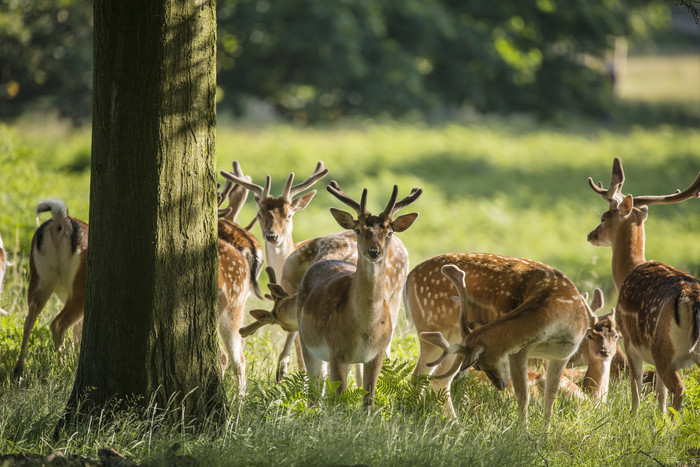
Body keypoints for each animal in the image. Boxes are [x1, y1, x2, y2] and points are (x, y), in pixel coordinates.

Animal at [13, 198, 88, 380]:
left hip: (40, 279)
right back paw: (64, 367)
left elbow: (78, 333)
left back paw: (18, 371)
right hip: (79, 289)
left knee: (29, 319)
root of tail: (61, 220)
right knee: (58, 323)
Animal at [296, 181, 422, 408]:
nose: (374, 251)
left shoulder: (376, 354)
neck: (364, 329)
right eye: (358, 230)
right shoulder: (335, 350)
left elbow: (368, 400)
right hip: (306, 341)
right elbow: (339, 400)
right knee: (313, 390)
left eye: (389, 232)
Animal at [412, 260, 592, 432]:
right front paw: (523, 433)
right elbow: (523, 396)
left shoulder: (562, 355)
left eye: (477, 365)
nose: (499, 385)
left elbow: (550, 398)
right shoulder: (518, 351)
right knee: (423, 375)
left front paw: (545, 435)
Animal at [584, 156, 700, 414]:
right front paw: (658, 419)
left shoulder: (628, 339)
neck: (628, 270)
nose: (590, 235)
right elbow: (659, 395)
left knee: (678, 388)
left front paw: (634, 417)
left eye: (604, 217)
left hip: (663, 346)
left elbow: (636, 386)